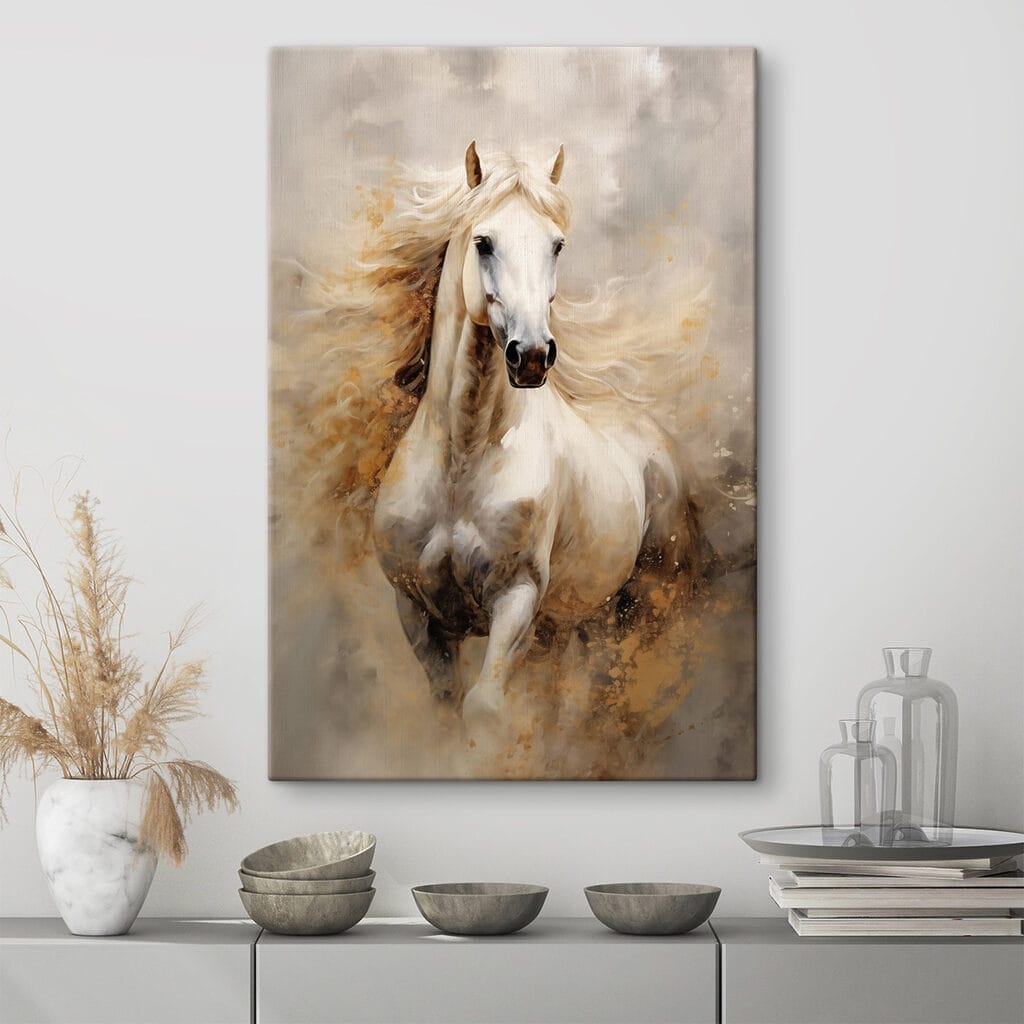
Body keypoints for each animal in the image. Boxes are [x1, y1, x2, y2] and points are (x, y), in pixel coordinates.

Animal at [371, 143, 710, 739]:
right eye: (483, 242)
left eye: (557, 245)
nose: (530, 356)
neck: (463, 462)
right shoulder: (418, 614)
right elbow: (447, 710)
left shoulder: (517, 601)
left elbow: (484, 709)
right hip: (573, 622)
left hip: (642, 606)